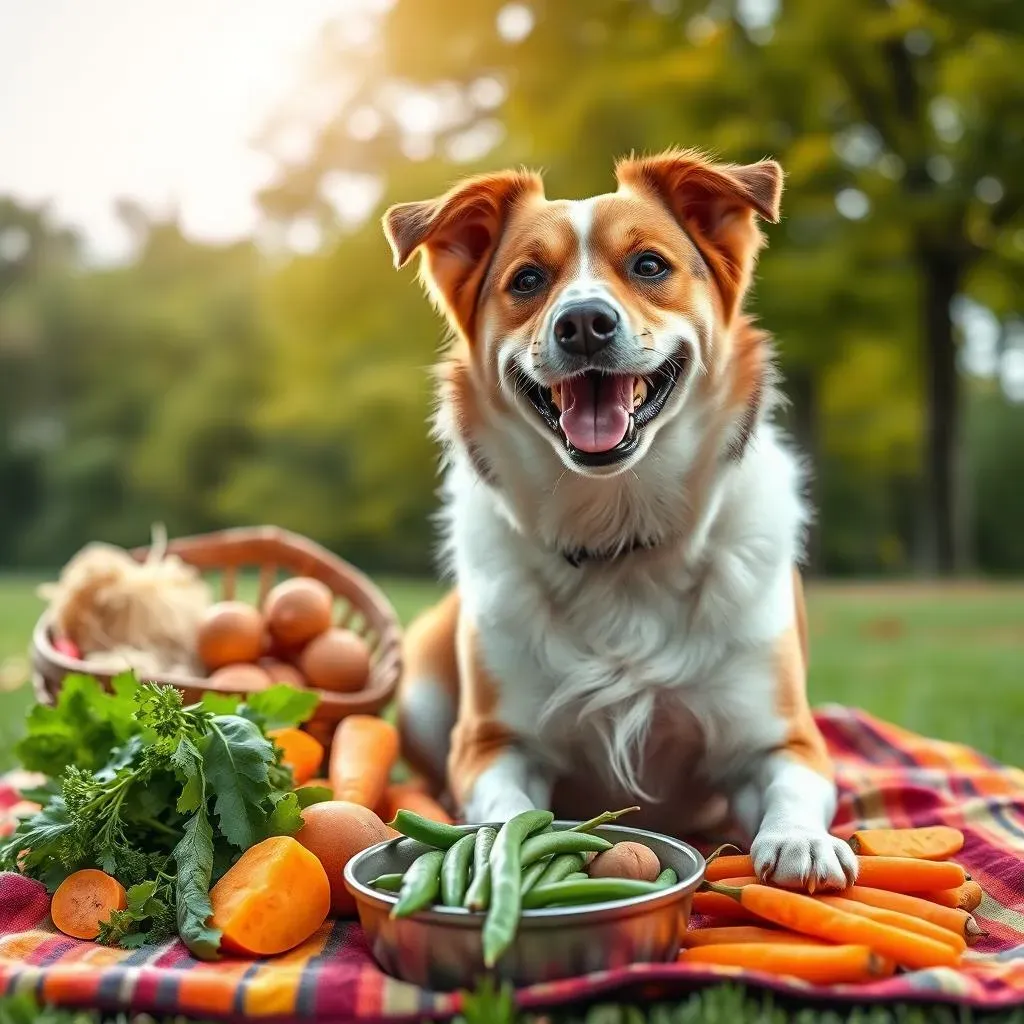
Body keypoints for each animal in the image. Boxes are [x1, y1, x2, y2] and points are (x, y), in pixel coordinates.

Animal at [385, 148, 856, 892]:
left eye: (650, 265)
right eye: (528, 279)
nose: (582, 323)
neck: (619, 536)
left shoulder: (781, 735)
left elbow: (792, 784)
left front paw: (801, 841)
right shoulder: (493, 744)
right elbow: (504, 805)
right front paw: (497, 851)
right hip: (427, 685)